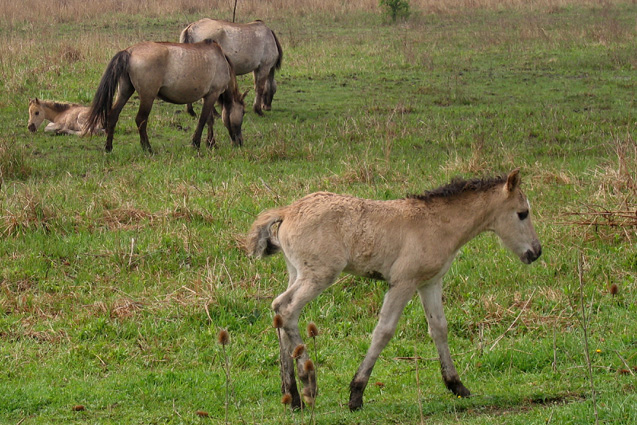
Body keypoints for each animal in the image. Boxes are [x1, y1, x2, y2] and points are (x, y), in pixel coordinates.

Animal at [82, 39, 246, 152]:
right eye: (243, 112)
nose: (239, 142)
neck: (221, 59)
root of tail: (130, 51)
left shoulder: (208, 96)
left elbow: (210, 120)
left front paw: (211, 143)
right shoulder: (212, 94)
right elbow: (203, 120)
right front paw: (196, 143)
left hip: (124, 91)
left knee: (113, 116)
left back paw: (109, 147)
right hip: (147, 96)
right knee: (140, 120)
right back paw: (147, 148)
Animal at [246, 169, 540, 410]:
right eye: (522, 213)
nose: (536, 252)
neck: (437, 223)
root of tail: (287, 211)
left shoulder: (429, 283)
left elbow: (439, 328)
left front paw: (457, 385)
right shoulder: (403, 283)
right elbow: (384, 331)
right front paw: (356, 394)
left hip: (297, 272)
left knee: (279, 310)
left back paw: (293, 396)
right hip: (320, 275)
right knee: (287, 309)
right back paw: (309, 383)